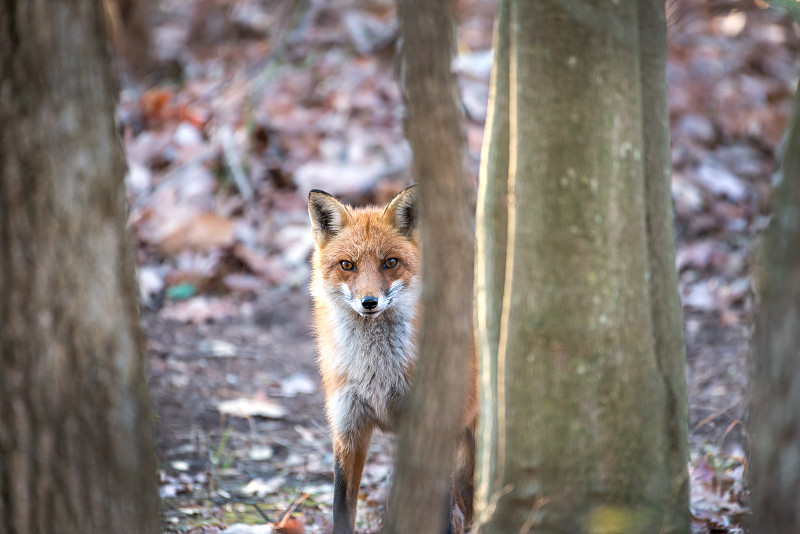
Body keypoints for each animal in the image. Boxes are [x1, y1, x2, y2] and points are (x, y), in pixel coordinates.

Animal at [308, 187, 478, 534]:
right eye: (347, 265)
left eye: (390, 263)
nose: (369, 302)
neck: (376, 373)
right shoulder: (348, 429)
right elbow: (341, 508)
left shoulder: (429, 425)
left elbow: (441, 514)